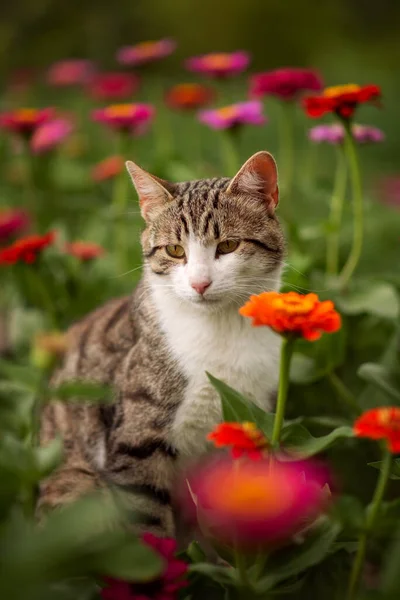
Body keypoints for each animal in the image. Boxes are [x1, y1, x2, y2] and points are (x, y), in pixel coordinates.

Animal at [39, 150, 284, 536]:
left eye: (228, 245)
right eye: (174, 250)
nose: (200, 284)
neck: (221, 329)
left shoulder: (247, 421)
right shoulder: (138, 438)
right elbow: (147, 517)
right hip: (77, 484)